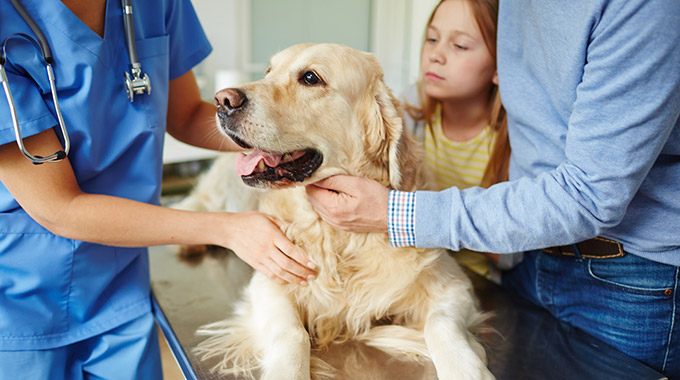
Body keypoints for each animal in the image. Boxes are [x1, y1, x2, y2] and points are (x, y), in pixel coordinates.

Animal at [189, 43, 492, 378]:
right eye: (268, 71)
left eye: (310, 77)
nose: (222, 100)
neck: (338, 238)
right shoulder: (270, 278)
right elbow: (293, 333)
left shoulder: (454, 284)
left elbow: (440, 324)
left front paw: (467, 370)